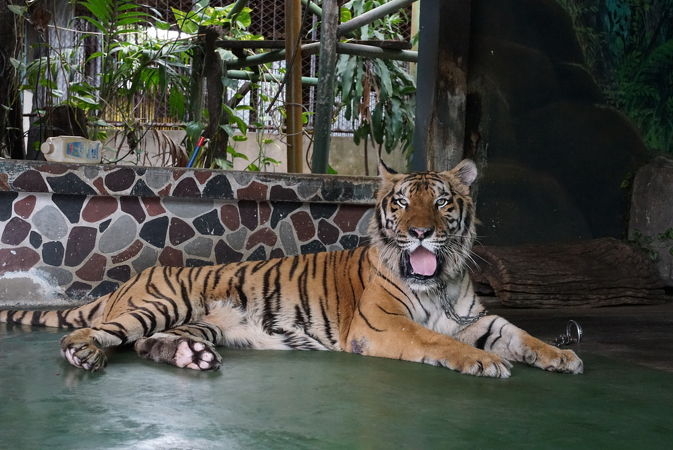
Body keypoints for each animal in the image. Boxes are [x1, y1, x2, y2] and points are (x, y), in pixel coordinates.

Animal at [0, 160, 580, 378]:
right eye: (401, 203)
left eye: (440, 202)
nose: (419, 232)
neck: (437, 282)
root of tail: (135, 277)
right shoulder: (383, 326)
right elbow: (438, 341)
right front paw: (483, 363)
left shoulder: (475, 318)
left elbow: (521, 333)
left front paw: (562, 355)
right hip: (163, 302)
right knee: (97, 334)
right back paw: (84, 354)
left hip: (200, 322)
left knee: (145, 344)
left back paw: (191, 357)